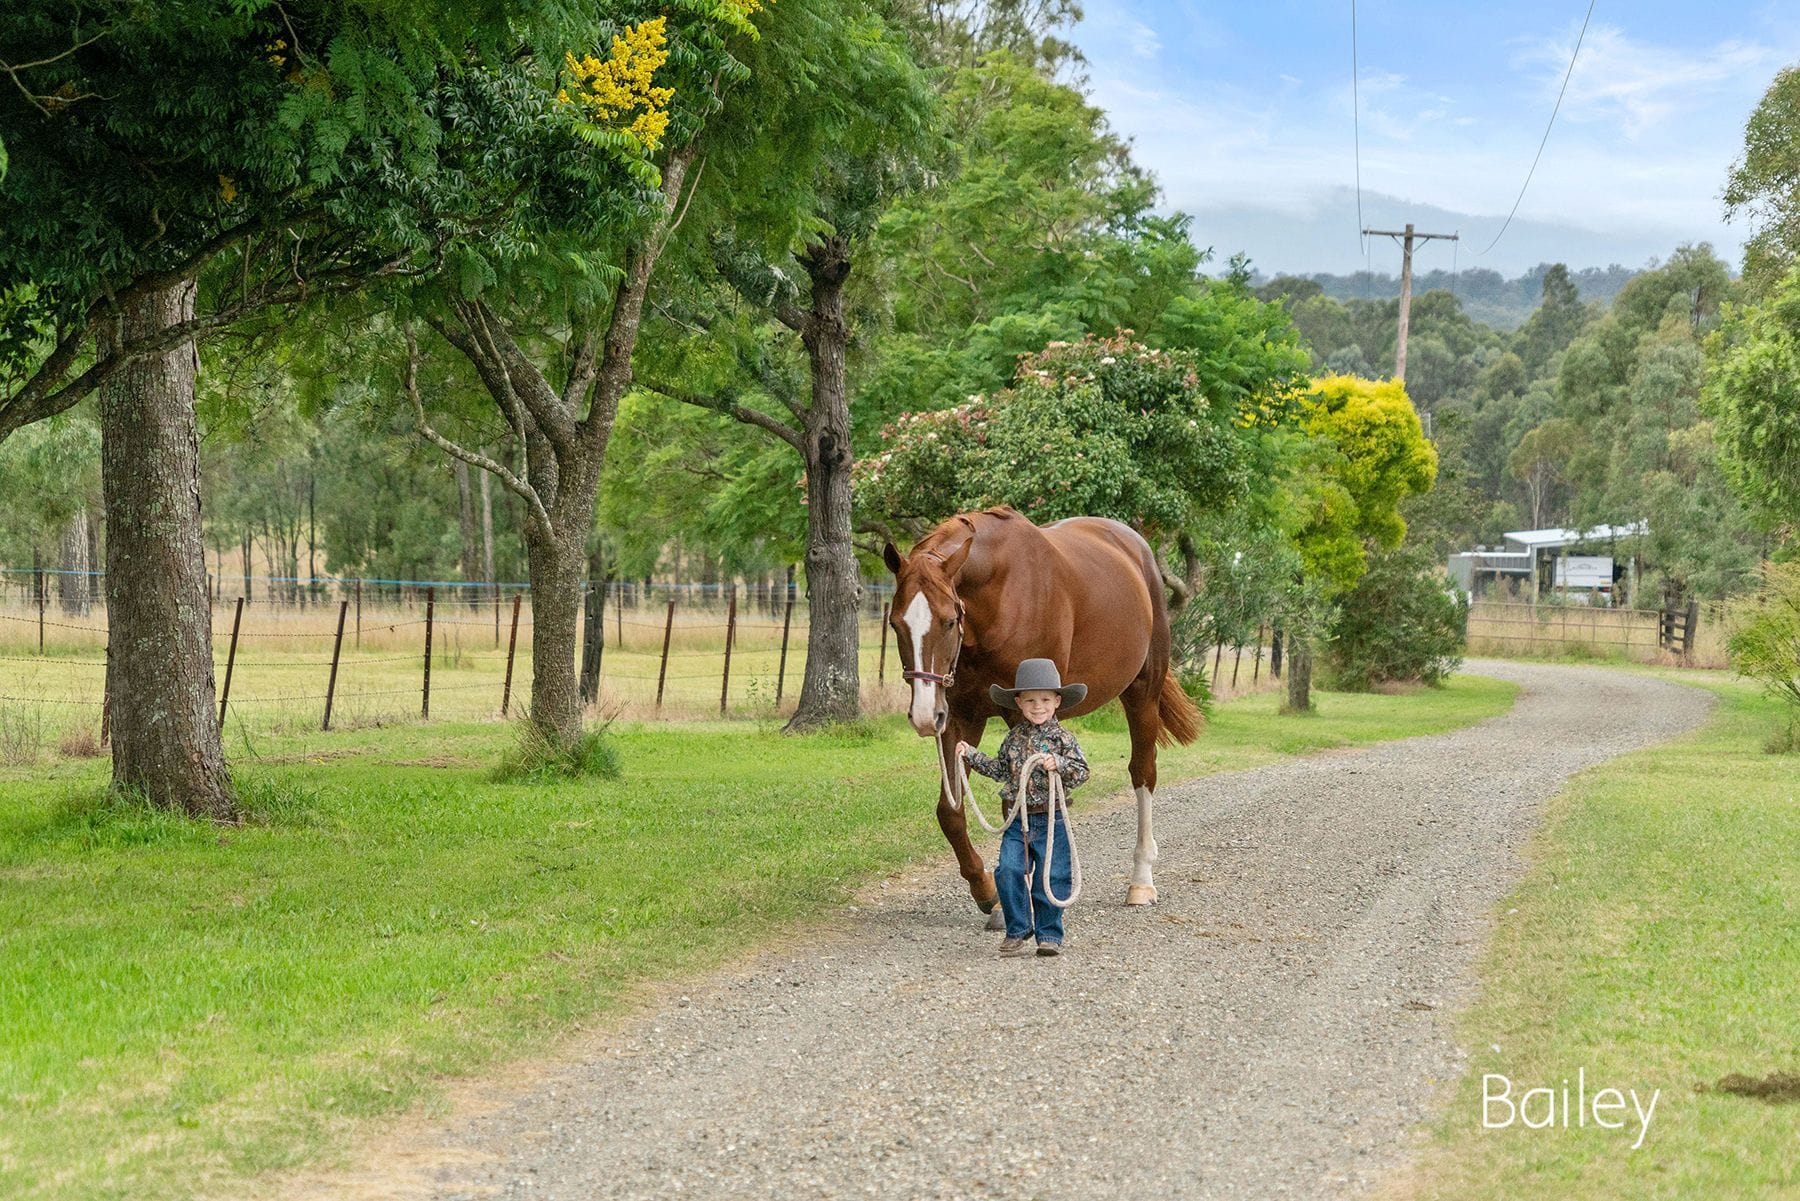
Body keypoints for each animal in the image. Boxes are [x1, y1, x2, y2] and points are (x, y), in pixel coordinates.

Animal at [882, 504, 1202, 929]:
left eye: (949, 620)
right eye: (896, 623)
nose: (921, 716)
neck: (1001, 594)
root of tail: (1137, 549)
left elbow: (1018, 809)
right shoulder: (960, 716)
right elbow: (950, 812)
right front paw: (988, 893)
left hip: (1142, 694)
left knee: (1143, 775)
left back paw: (1141, 882)